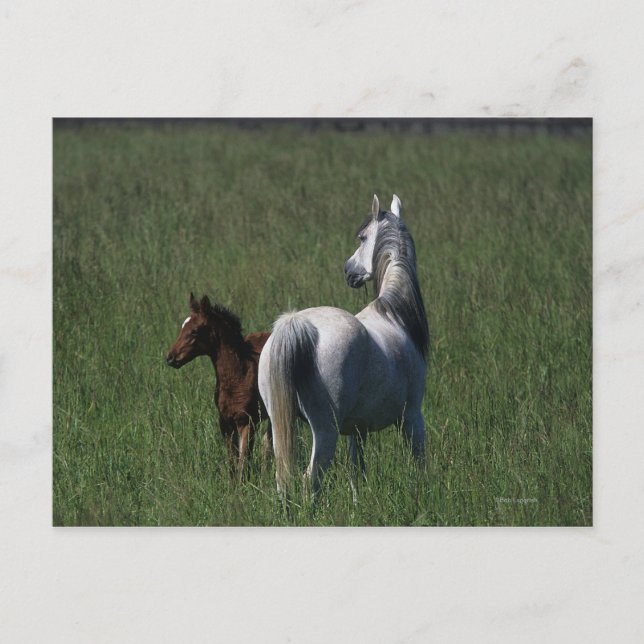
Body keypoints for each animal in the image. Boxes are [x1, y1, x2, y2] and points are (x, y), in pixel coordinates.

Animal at [166, 293, 271, 478]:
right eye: (182, 327)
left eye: (195, 331)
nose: (170, 358)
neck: (239, 375)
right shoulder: (225, 424)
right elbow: (232, 464)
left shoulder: (247, 422)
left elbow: (243, 464)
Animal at [258, 194, 429, 498]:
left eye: (361, 238)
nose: (348, 271)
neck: (394, 314)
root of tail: (296, 324)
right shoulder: (412, 418)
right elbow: (419, 464)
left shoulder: (356, 430)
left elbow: (356, 474)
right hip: (325, 431)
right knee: (309, 481)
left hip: (281, 426)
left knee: (283, 481)